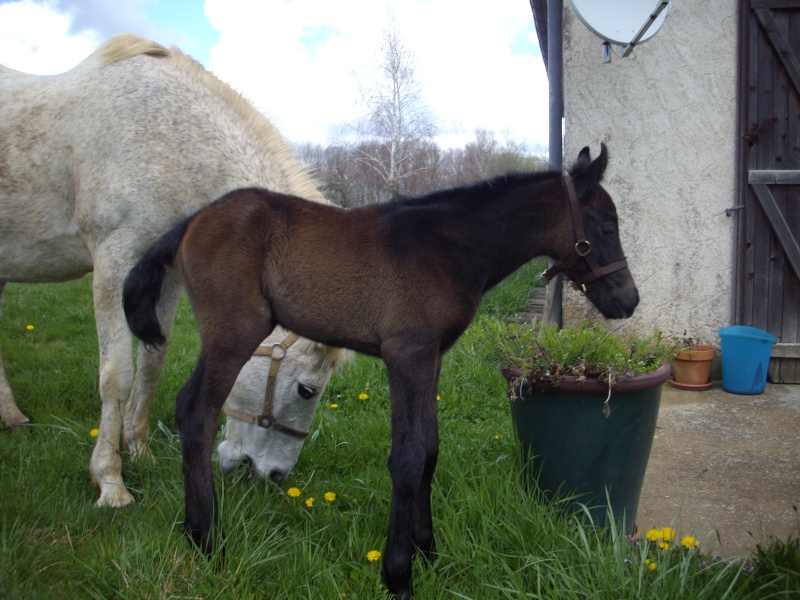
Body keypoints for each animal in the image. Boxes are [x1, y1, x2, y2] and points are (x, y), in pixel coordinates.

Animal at [0, 34, 338, 506]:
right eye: (307, 389)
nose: (272, 476)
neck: (166, 141)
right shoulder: (114, 261)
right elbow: (117, 376)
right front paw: (110, 481)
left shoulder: (166, 275)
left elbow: (152, 364)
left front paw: (139, 451)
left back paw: (11, 417)